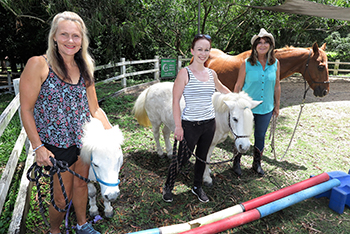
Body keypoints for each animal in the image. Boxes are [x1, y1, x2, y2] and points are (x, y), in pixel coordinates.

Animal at [132, 82, 260, 186]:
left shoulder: (212, 143)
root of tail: (150, 88)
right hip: (155, 121)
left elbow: (207, 158)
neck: (217, 117)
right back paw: (160, 152)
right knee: (156, 134)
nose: (244, 146)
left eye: (252, 119)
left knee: (166, 133)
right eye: (234, 119)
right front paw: (207, 178)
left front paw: (207, 172)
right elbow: (205, 158)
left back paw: (169, 153)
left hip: (169, 122)